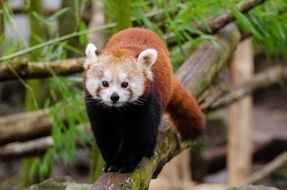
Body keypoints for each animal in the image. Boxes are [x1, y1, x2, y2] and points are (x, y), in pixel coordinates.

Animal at [83, 27, 205, 173]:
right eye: (104, 83)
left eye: (125, 84)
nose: (114, 97)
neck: (118, 109)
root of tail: (140, 28)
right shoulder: (97, 108)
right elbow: (104, 131)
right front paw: (110, 157)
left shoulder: (146, 102)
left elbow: (139, 133)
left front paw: (121, 163)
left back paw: (149, 150)